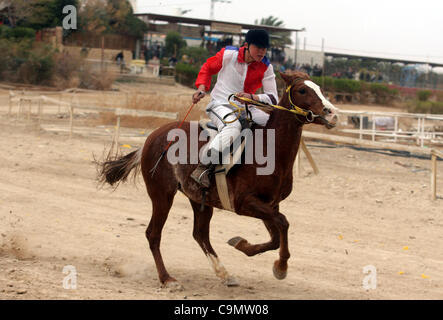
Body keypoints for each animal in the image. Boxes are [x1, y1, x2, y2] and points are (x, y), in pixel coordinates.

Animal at [99, 72, 338, 290]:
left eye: (319, 88)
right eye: (302, 90)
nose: (332, 113)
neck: (269, 150)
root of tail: (151, 138)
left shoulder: (270, 204)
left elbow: (276, 235)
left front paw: (243, 245)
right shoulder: (244, 203)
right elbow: (283, 223)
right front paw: (281, 267)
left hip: (198, 198)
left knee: (200, 234)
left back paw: (224, 274)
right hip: (161, 194)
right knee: (153, 234)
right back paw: (167, 279)